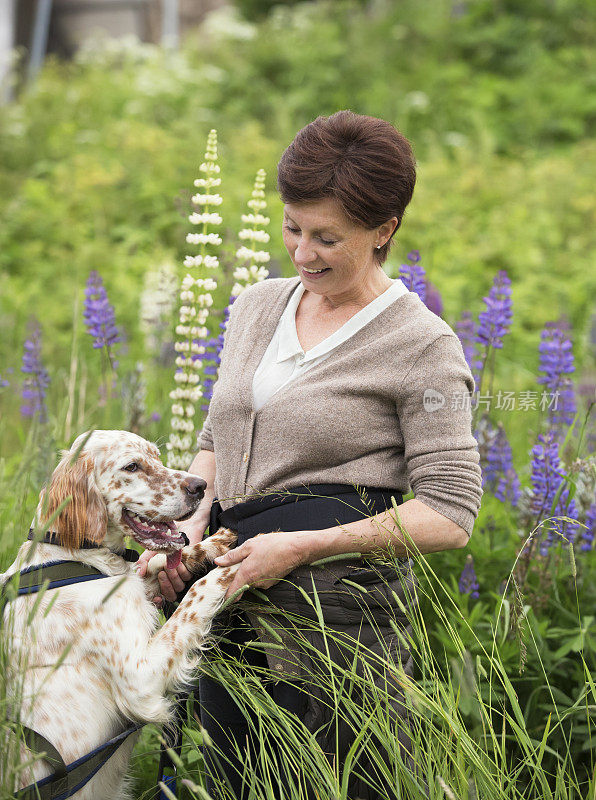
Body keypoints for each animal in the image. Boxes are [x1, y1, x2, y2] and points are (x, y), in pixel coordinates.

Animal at [2, 432, 240, 800]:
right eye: (132, 466)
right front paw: (232, 567)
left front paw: (213, 543)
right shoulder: (139, 682)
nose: (200, 486)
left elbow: (159, 561)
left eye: (156, 457)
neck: (75, 555)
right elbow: (193, 599)